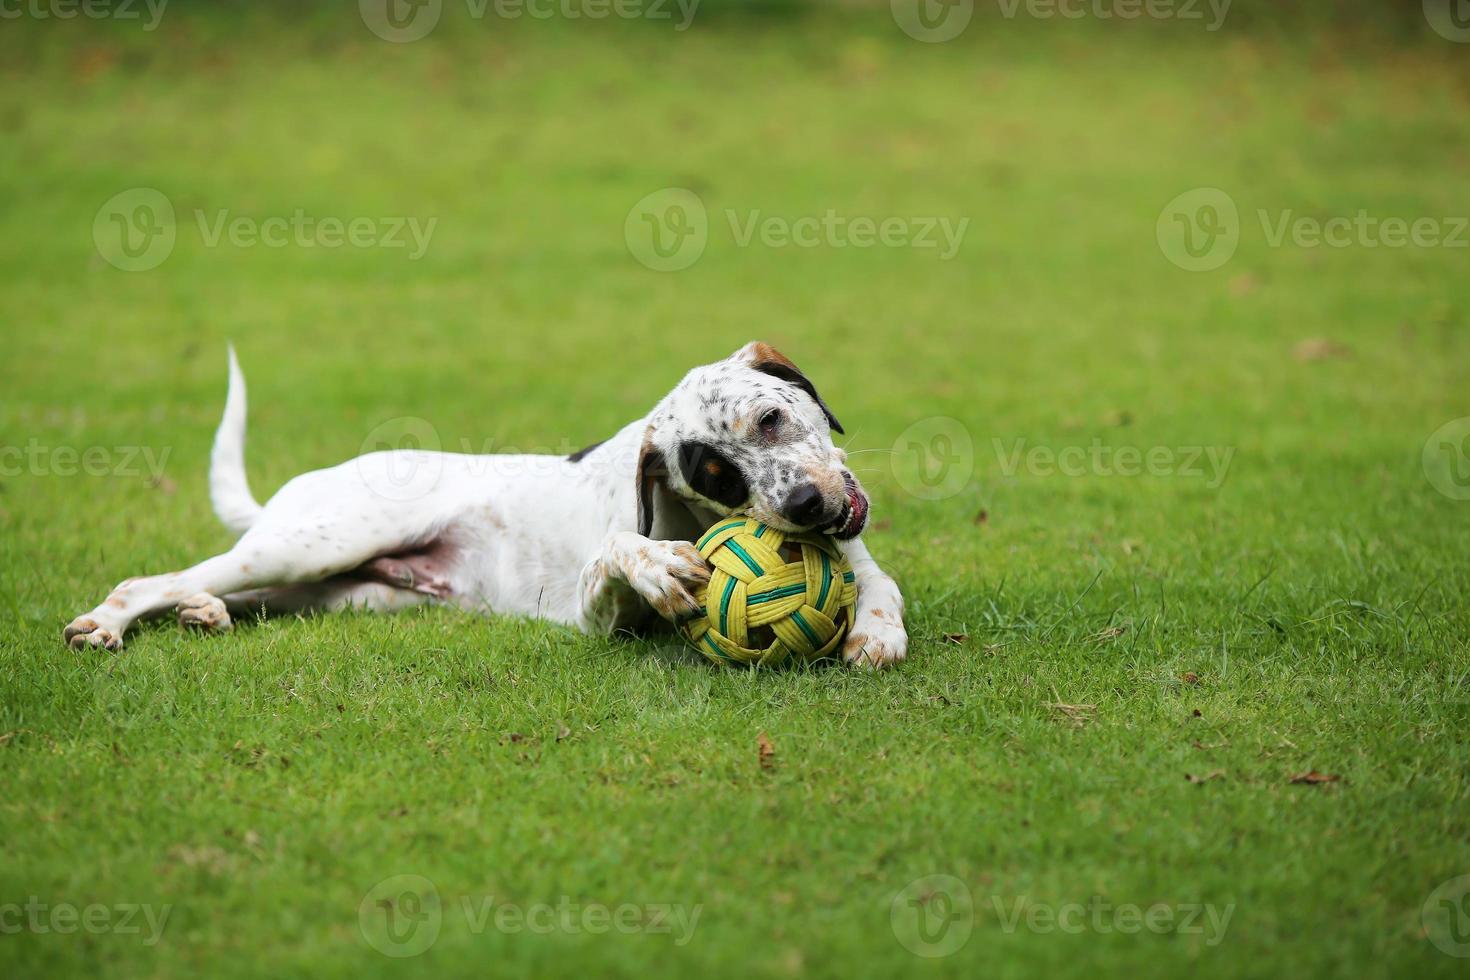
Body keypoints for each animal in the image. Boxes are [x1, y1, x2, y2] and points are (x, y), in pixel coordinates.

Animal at [66, 343, 905, 667]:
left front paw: (876, 632)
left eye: (770, 419)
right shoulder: (594, 620)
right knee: (150, 581)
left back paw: (206, 612)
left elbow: (881, 584)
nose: (804, 505)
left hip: (348, 592)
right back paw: (110, 623)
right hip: (310, 545)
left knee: (226, 592)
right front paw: (653, 564)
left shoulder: (853, 546)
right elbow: (617, 552)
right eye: (718, 477)